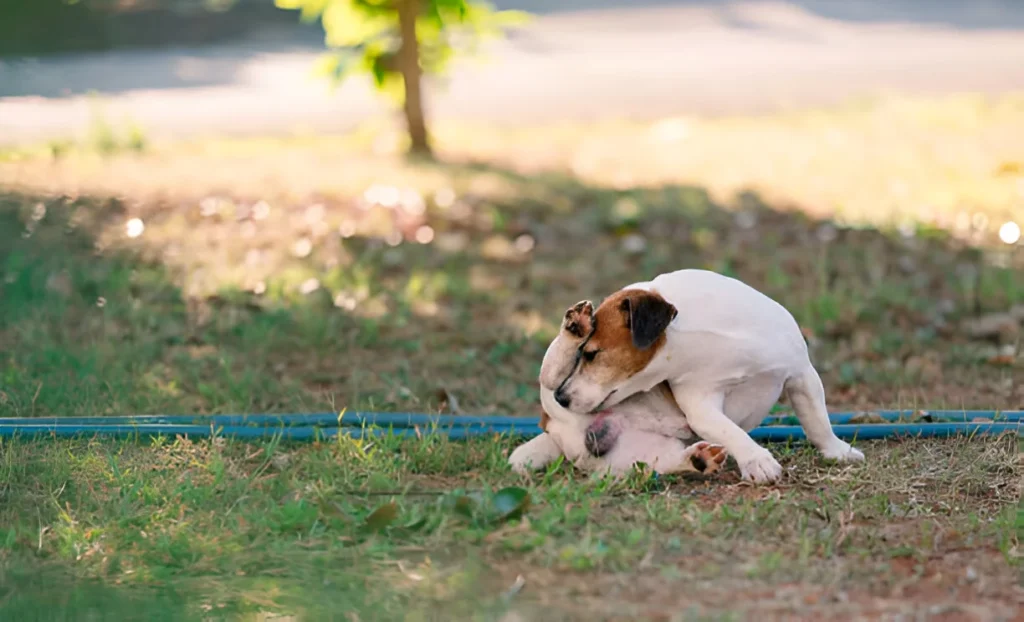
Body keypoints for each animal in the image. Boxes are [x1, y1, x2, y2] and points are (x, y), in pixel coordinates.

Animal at [544, 270, 864, 483]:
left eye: (591, 355)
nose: (563, 397)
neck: (700, 338)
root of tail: (549, 425)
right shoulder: (702, 406)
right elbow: (730, 430)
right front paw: (757, 460)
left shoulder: (802, 375)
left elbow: (817, 422)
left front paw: (838, 451)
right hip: (550, 394)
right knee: (548, 372)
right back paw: (574, 327)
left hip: (643, 451)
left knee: (665, 463)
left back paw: (698, 460)